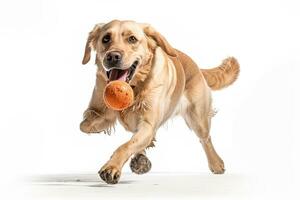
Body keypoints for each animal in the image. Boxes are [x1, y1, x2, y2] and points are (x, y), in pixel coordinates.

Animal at [79, 19, 239, 184]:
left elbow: (126, 146)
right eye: (106, 39)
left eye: (132, 39)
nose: (112, 56)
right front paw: (99, 127)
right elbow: (85, 125)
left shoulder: (148, 123)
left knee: (205, 139)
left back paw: (216, 163)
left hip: (198, 118)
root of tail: (196, 66)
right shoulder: (99, 108)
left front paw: (111, 167)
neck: (135, 86)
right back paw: (141, 159)